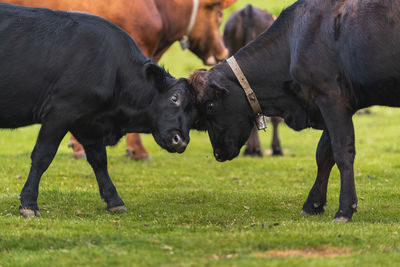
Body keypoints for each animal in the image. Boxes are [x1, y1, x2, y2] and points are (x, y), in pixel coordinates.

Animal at [0, 3, 197, 218]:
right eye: (174, 98)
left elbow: (99, 160)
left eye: (195, 113)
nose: (181, 141)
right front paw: (29, 203)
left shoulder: (86, 121)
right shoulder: (60, 112)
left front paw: (114, 200)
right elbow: (43, 156)